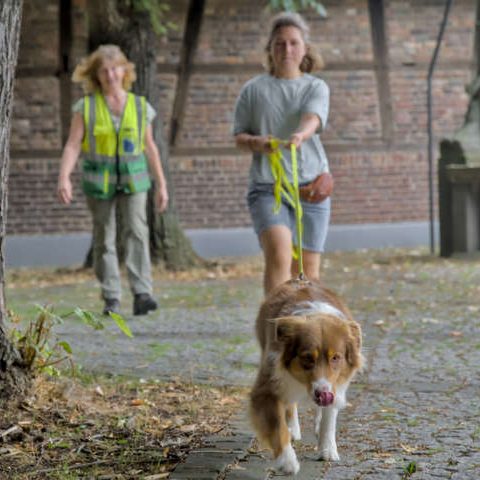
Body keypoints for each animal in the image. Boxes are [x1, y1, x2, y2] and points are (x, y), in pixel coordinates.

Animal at [249, 280, 362, 474]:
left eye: (336, 357)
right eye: (308, 357)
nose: (322, 393)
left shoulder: (335, 385)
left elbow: (329, 418)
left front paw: (328, 449)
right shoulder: (268, 386)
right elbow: (278, 426)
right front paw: (287, 461)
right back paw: (293, 429)